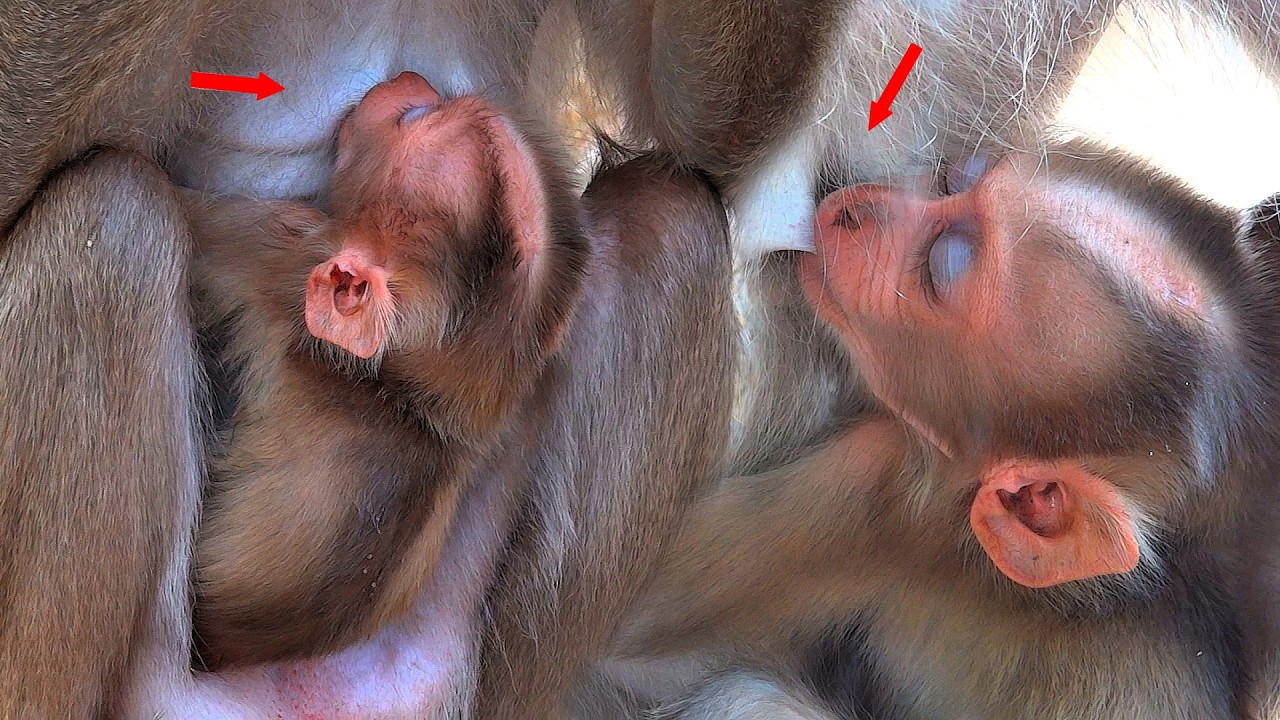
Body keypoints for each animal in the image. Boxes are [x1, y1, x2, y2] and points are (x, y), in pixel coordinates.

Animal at [570, 140, 1280, 719]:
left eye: (942, 265)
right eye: (952, 179)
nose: (849, 208)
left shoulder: (878, 491)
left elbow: (619, 633)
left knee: (752, 698)